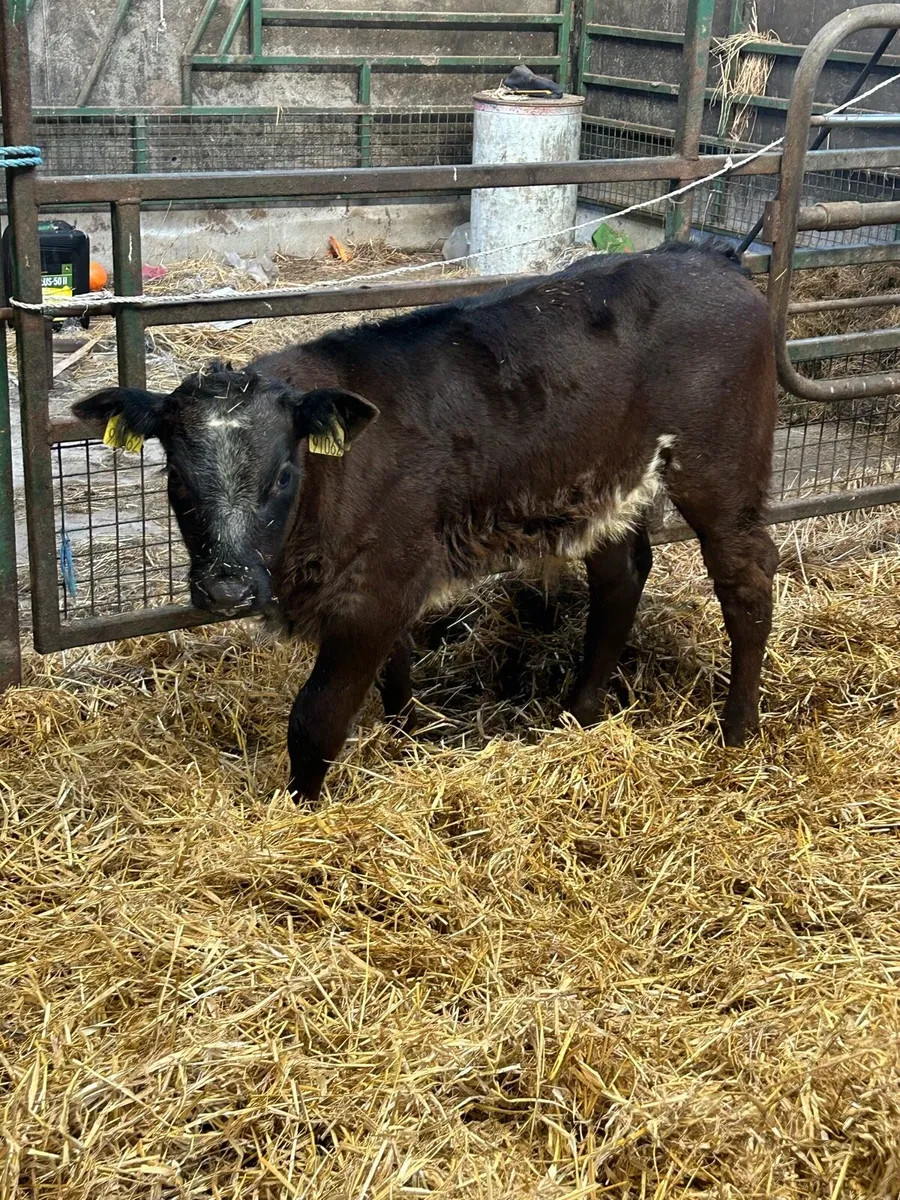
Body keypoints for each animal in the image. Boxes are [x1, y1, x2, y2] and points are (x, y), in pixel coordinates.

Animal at [73, 242, 779, 802]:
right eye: (176, 481)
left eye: (282, 476)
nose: (227, 587)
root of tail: (710, 258)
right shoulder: (391, 572)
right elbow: (395, 673)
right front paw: (407, 738)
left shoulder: (376, 589)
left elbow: (316, 718)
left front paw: (302, 809)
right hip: (607, 485)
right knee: (621, 576)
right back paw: (578, 713)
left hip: (720, 471)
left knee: (747, 578)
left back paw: (737, 730)